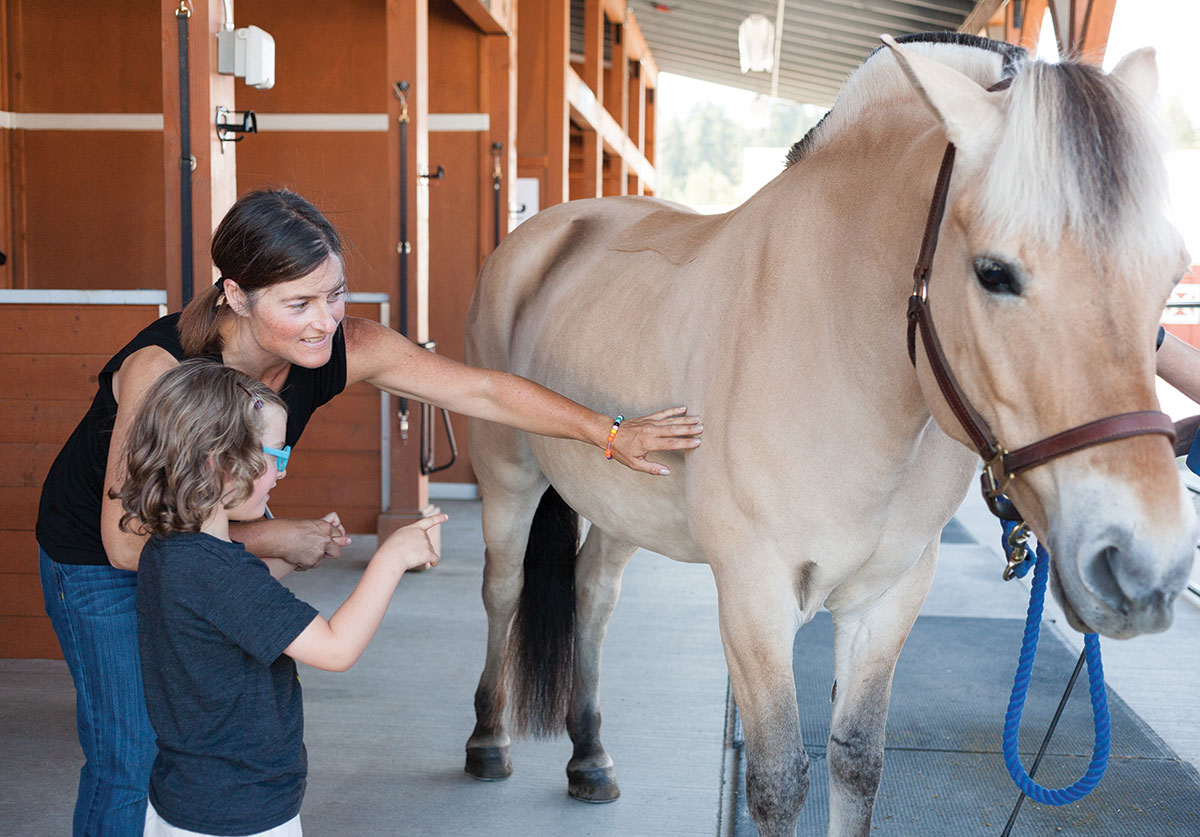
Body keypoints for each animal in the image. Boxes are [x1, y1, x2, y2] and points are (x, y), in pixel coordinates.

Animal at [456, 32, 1190, 834]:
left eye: (1170, 278)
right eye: (994, 272)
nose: (1142, 568)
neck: (839, 350)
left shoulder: (889, 597)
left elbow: (856, 759)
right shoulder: (753, 596)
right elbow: (780, 779)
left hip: (624, 498)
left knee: (593, 592)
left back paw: (590, 755)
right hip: (507, 474)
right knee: (502, 588)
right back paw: (488, 740)